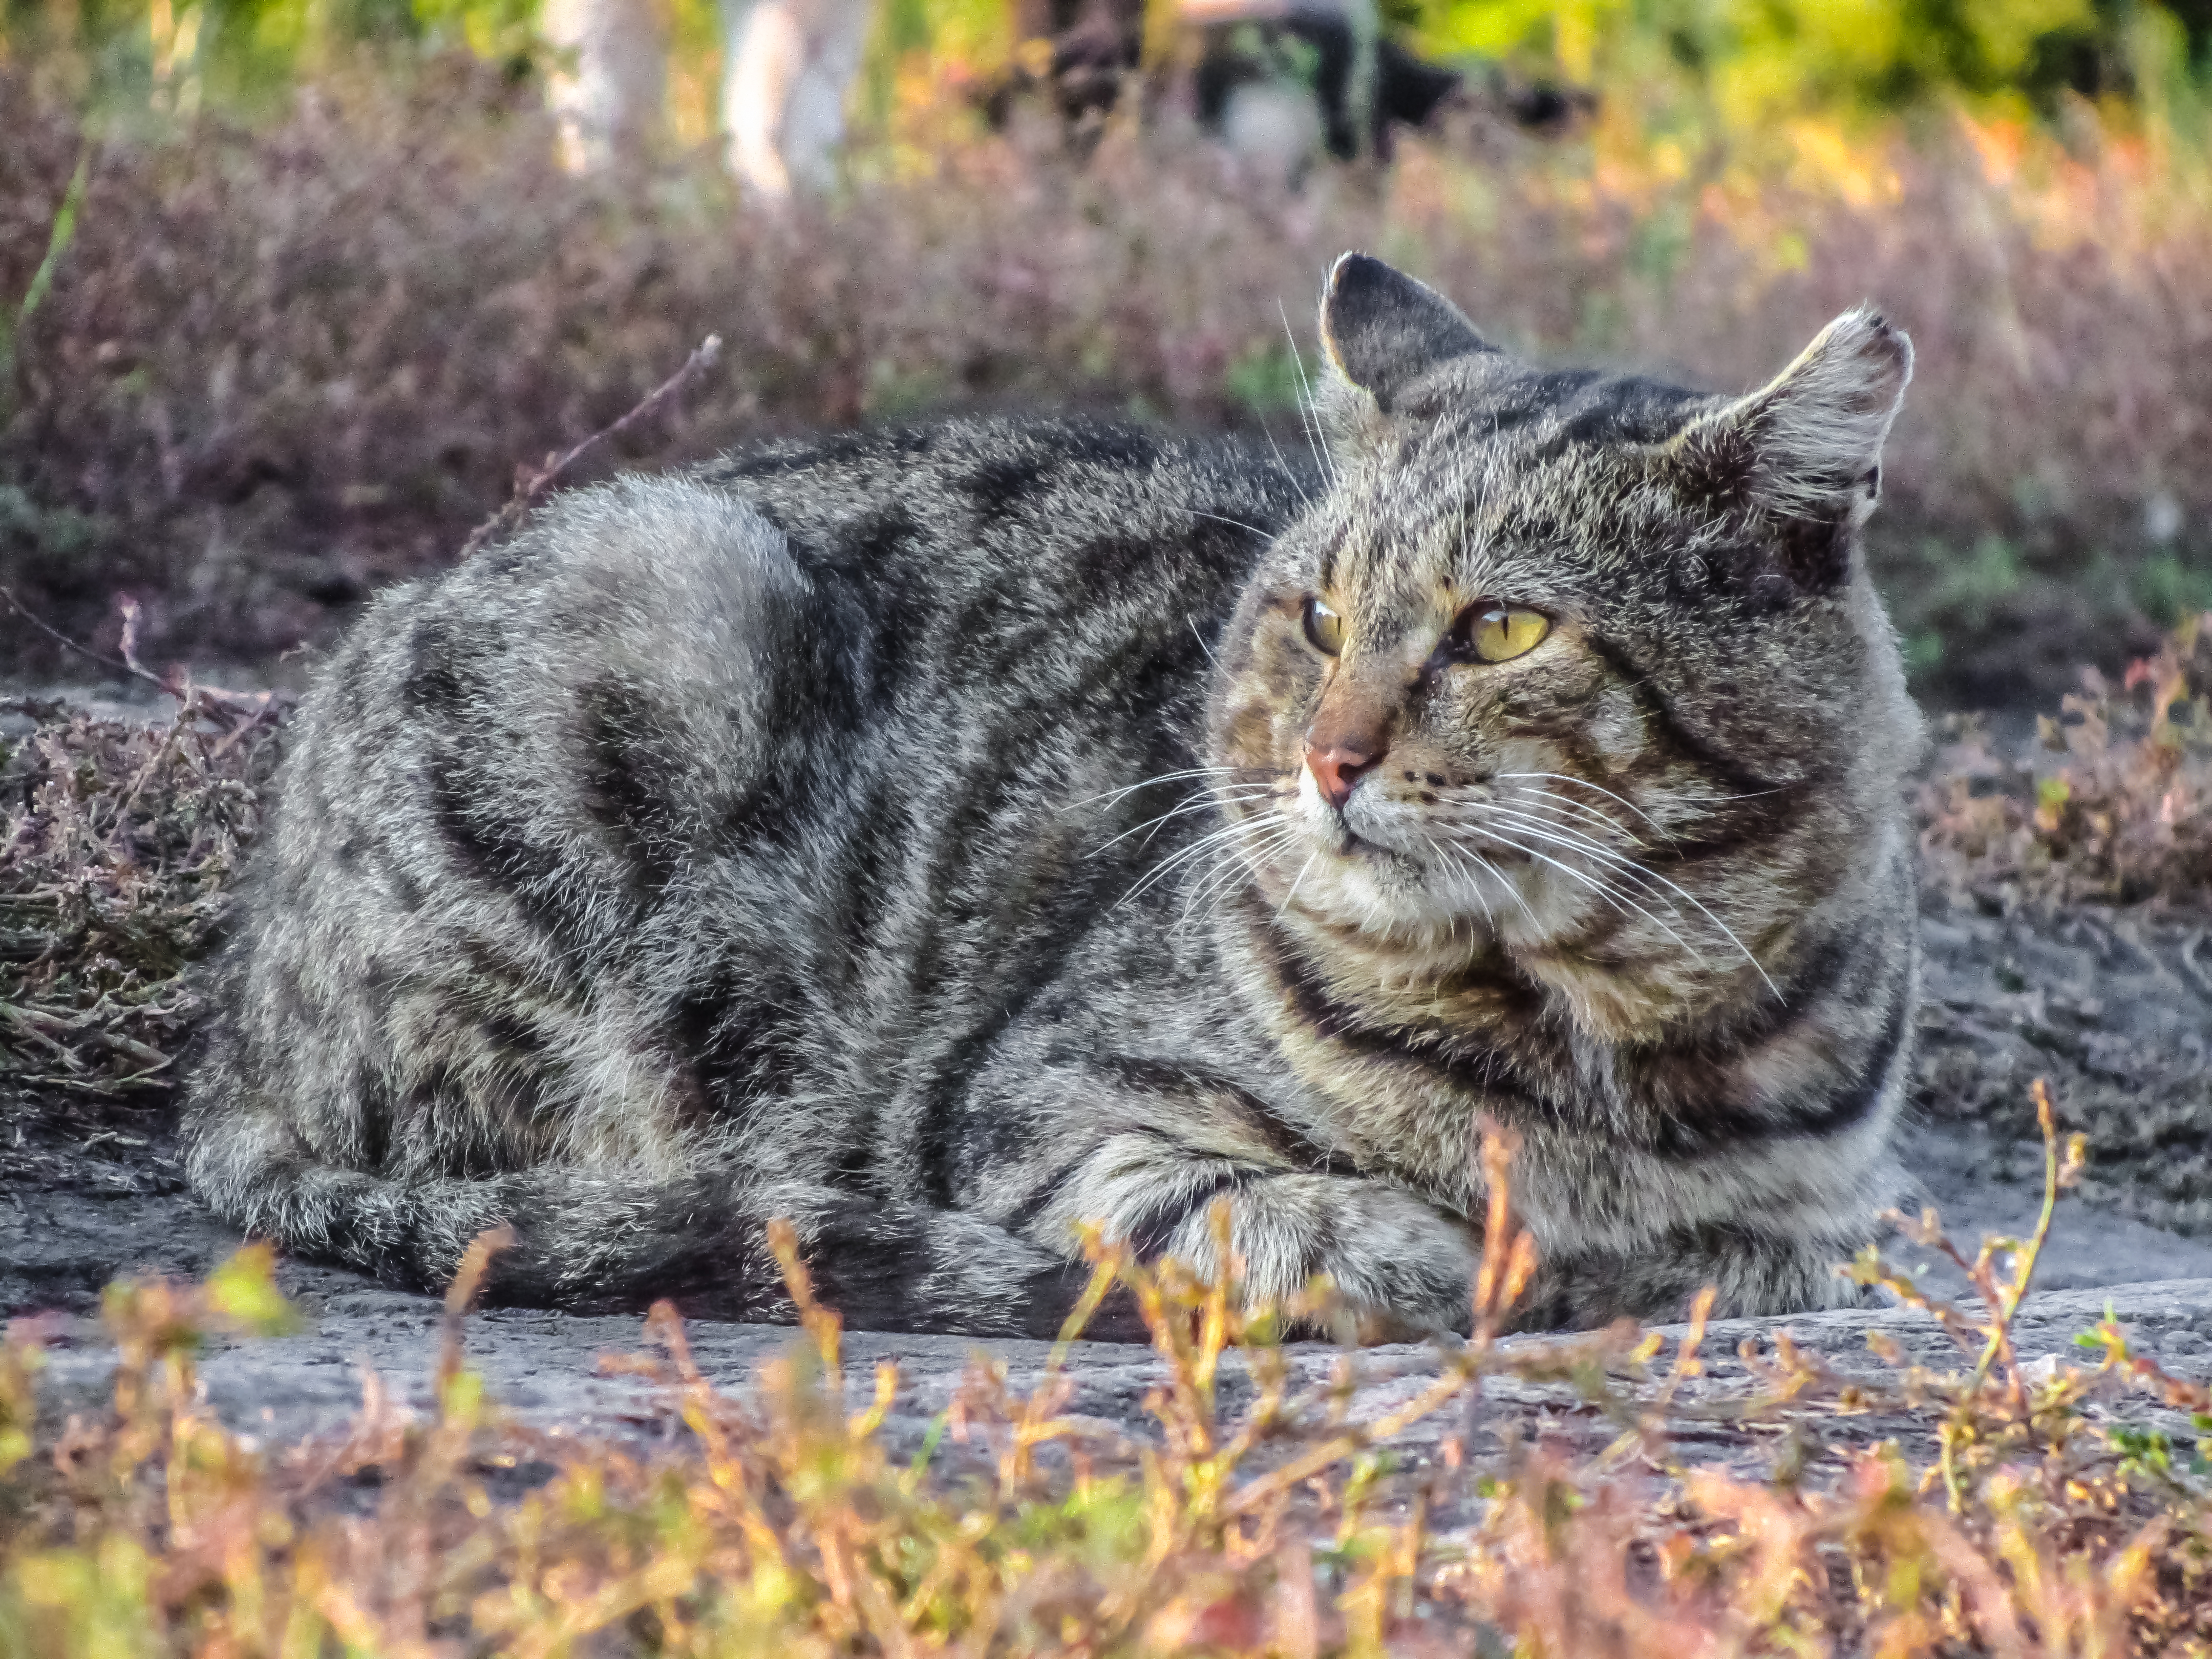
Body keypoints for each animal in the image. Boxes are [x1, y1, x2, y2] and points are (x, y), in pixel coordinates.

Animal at [185, 263, 1920, 1353]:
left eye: (1502, 631)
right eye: (1316, 619)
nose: (1331, 759)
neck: (1586, 1045)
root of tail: (239, 1038)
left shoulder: (1817, 1216)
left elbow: (1786, 1254)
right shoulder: (1034, 1103)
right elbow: (1217, 1195)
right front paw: (1397, 1242)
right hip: (661, 617)